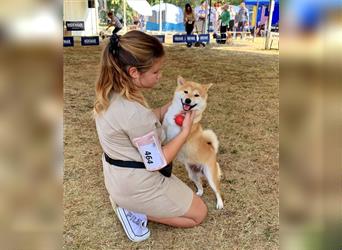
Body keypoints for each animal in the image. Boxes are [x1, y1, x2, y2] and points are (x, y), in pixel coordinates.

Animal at [163, 76, 224, 209]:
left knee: (217, 190)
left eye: (196, 95)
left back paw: (220, 203)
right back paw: (199, 193)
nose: (188, 100)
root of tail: (212, 150)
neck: (181, 114)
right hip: (192, 173)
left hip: (210, 176)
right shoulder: (165, 124)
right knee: (200, 185)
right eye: (186, 92)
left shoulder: (177, 136)